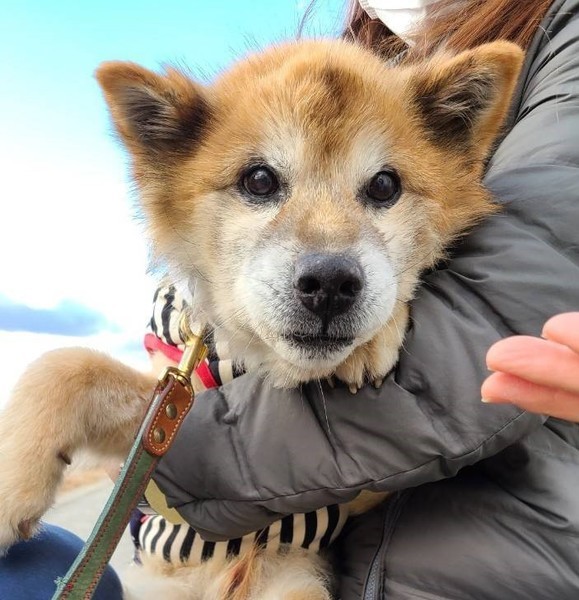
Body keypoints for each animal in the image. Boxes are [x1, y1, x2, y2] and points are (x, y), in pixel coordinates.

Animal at [0, 38, 523, 599]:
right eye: (258, 180)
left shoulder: (340, 507)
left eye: (385, 186)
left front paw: (371, 340)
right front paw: (13, 484)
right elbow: (66, 365)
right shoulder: (169, 395)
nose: (331, 284)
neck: (259, 360)